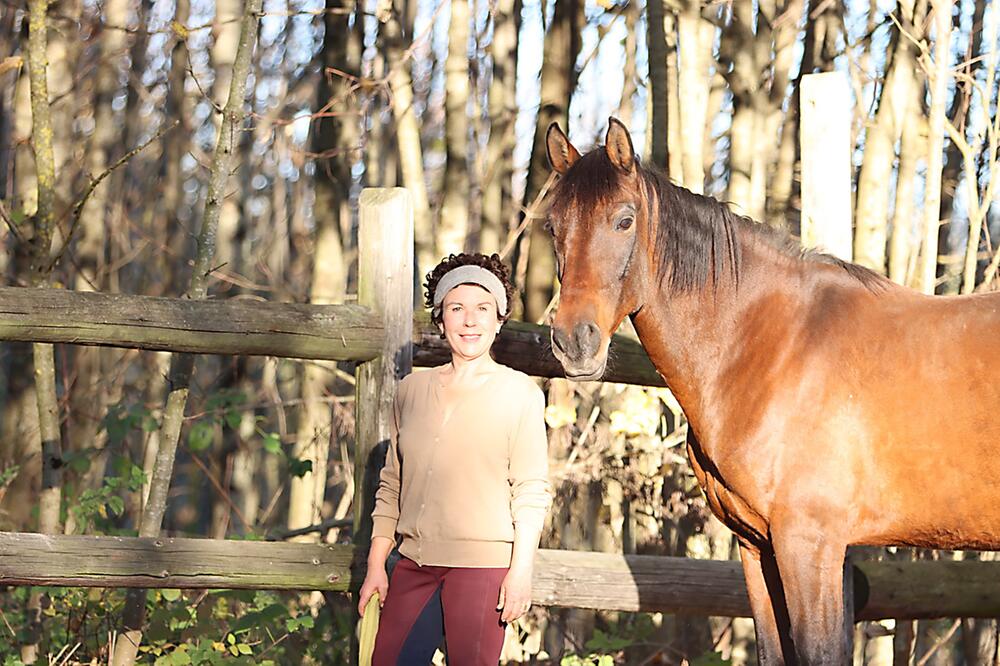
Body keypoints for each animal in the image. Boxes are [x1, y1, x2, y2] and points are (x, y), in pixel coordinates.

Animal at [544, 116, 1000, 660]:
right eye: (553, 227)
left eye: (624, 220)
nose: (574, 341)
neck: (775, 347)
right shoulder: (756, 546)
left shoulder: (809, 545)